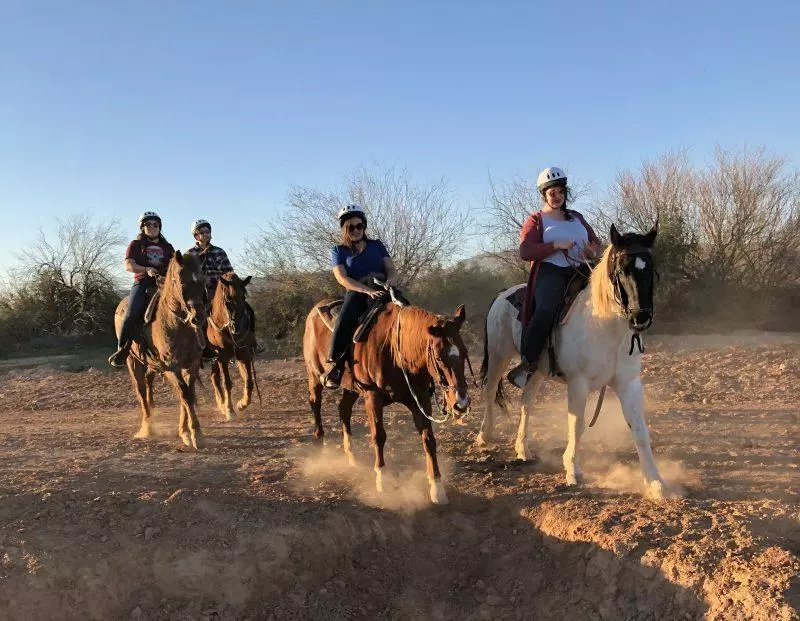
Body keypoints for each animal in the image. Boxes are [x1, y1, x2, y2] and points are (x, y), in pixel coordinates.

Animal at [115, 249, 211, 448]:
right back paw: (146, 427)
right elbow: (184, 394)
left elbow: (188, 395)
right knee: (141, 390)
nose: (198, 317)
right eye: (182, 282)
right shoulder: (172, 366)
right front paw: (194, 434)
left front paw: (186, 432)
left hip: (152, 364)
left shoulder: (191, 365)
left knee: (149, 383)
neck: (177, 324)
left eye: (203, 282)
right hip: (132, 361)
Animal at [206, 272, 256, 422]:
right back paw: (223, 405)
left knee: (214, 378)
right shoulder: (222, 357)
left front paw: (242, 404)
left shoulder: (244, 352)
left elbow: (249, 380)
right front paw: (229, 409)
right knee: (216, 379)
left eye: (243, 298)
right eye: (227, 300)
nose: (237, 328)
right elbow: (227, 383)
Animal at [304, 292, 472, 504]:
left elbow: (429, 440)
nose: (461, 403)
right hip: (314, 376)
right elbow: (379, 436)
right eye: (440, 357)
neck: (395, 350)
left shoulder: (420, 400)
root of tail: (314, 310)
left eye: (465, 353)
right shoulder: (372, 397)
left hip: (352, 388)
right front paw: (382, 480)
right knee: (315, 404)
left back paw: (351, 456)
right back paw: (319, 447)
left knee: (344, 409)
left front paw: (436, 488)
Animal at [476, 222, 668, 498]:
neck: (604, 325)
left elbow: (640, 430)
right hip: (498, 356)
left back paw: (523, 449)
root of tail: (503, 294)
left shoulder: (629, 383)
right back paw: (484, 435)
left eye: (651, 270)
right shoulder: (579, 383)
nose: (640, 317)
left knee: (527, 403)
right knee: (490, 391)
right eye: (621, 270)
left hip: (537, 371)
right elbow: (576, 425)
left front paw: (655, 482)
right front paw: (573, 471)